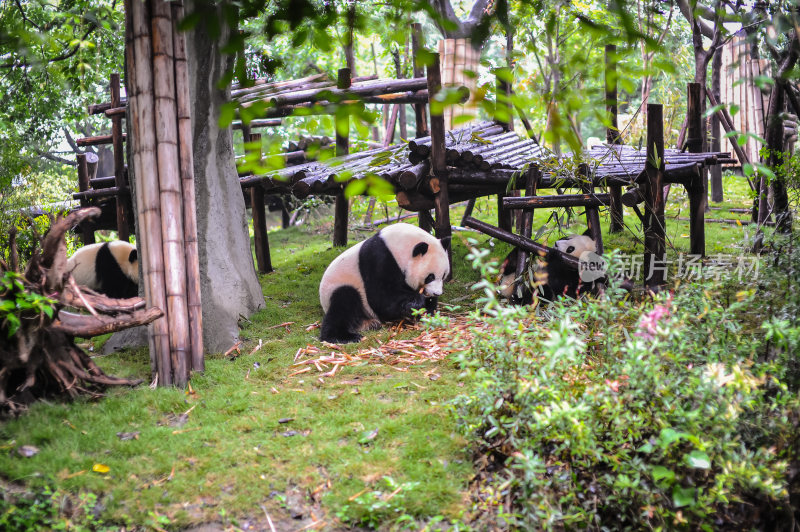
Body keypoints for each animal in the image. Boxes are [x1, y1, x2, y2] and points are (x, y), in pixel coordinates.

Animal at [318, 222, 450, 342]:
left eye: (443, 275)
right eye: (430, 277)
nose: (437, 293)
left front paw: (426, 312)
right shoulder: (379, 259)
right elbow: (381, 298)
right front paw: (415, 302)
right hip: (338, 286)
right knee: (344, 302)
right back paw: (342, 336)